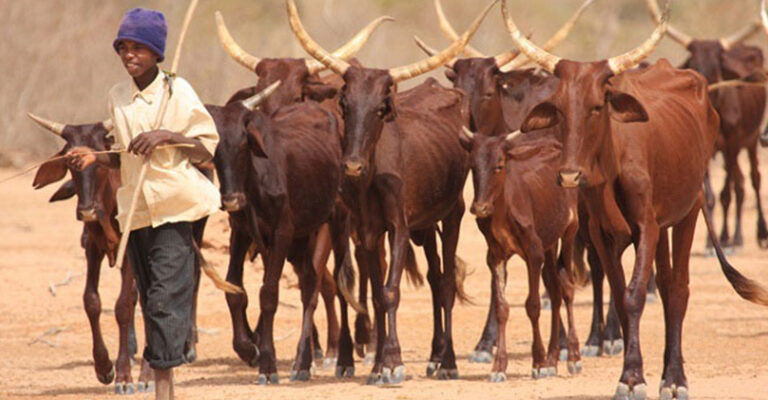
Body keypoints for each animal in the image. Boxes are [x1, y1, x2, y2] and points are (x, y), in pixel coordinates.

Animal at [284, 0, 496, 384]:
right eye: (345, 104)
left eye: (381, 108)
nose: (352, 166)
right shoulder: (368, 232)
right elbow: (376, 292)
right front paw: (378, 363)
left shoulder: (398, 228)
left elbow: (391, 290)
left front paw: (394, 362)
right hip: (423, 226)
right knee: (433, 276)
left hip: (453, 214)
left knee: (445, 283)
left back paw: (447, 361)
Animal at [644, 0, 764, 250]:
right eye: (693, 65)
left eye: (716, 67)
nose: (701, 91)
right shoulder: (704, 151)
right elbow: (709, 197)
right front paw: (712, 241)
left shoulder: (732, 144)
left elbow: (731, 191)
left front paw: (731, 237)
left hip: (751, 140)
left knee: (752, 180)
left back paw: (755, 234)